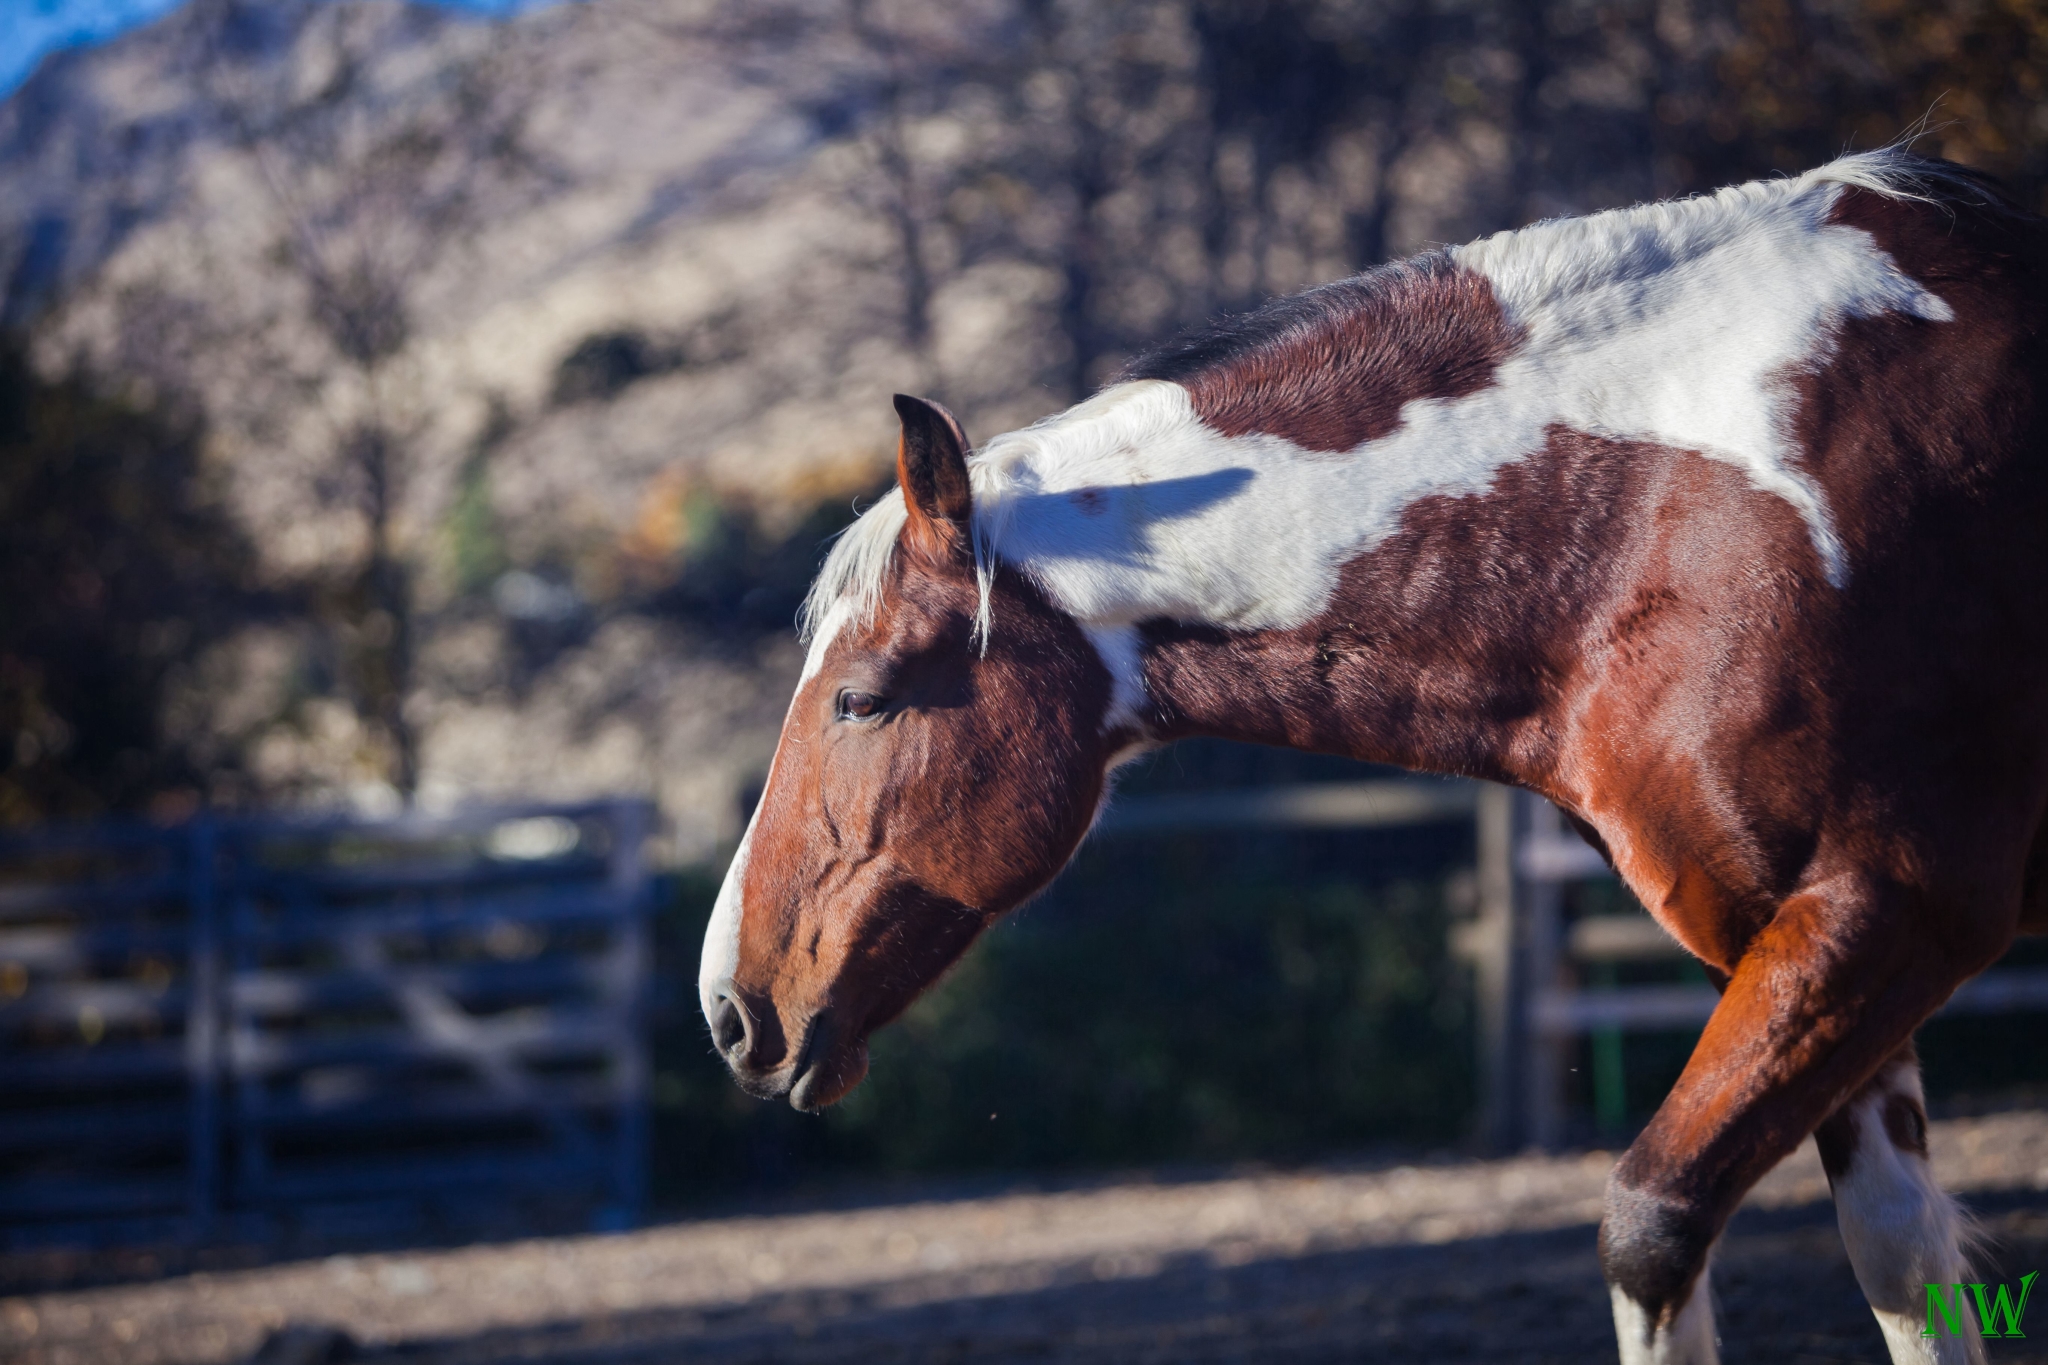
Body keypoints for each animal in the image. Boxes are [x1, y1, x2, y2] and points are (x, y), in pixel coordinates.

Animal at [696, 149, 2039, 1365]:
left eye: (861, 700)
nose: (727, 1008)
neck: (1651, 512)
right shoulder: (1801, 943)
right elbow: (1900, 1260)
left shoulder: (1884, 912)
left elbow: (1652, 1224)